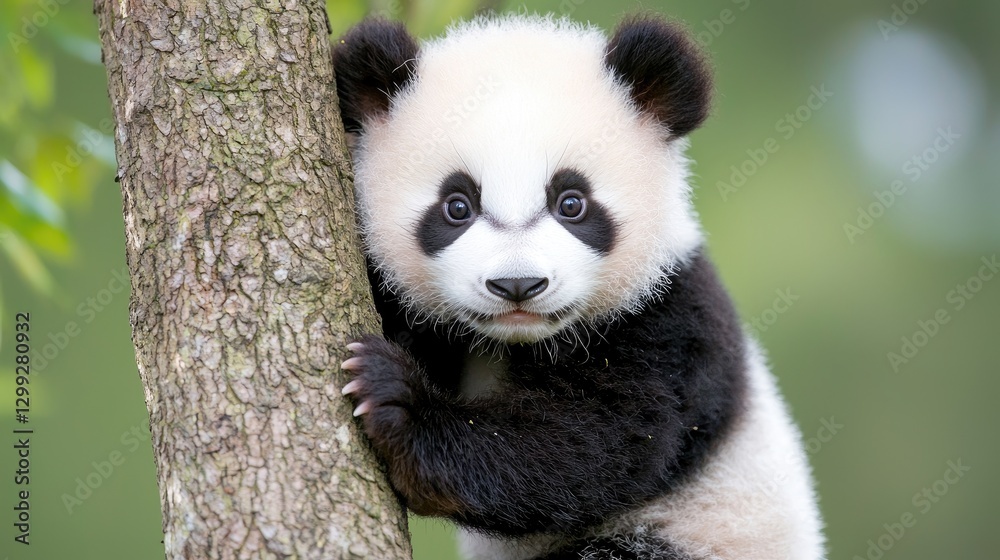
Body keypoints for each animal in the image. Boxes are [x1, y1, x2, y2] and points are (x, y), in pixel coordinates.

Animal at [332, 13, 825, 560]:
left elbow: (592, 442)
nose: (518, 284)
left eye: (572, 202)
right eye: (457, 205)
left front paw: (395, 400)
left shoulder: (671, 322)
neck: (513, 343)